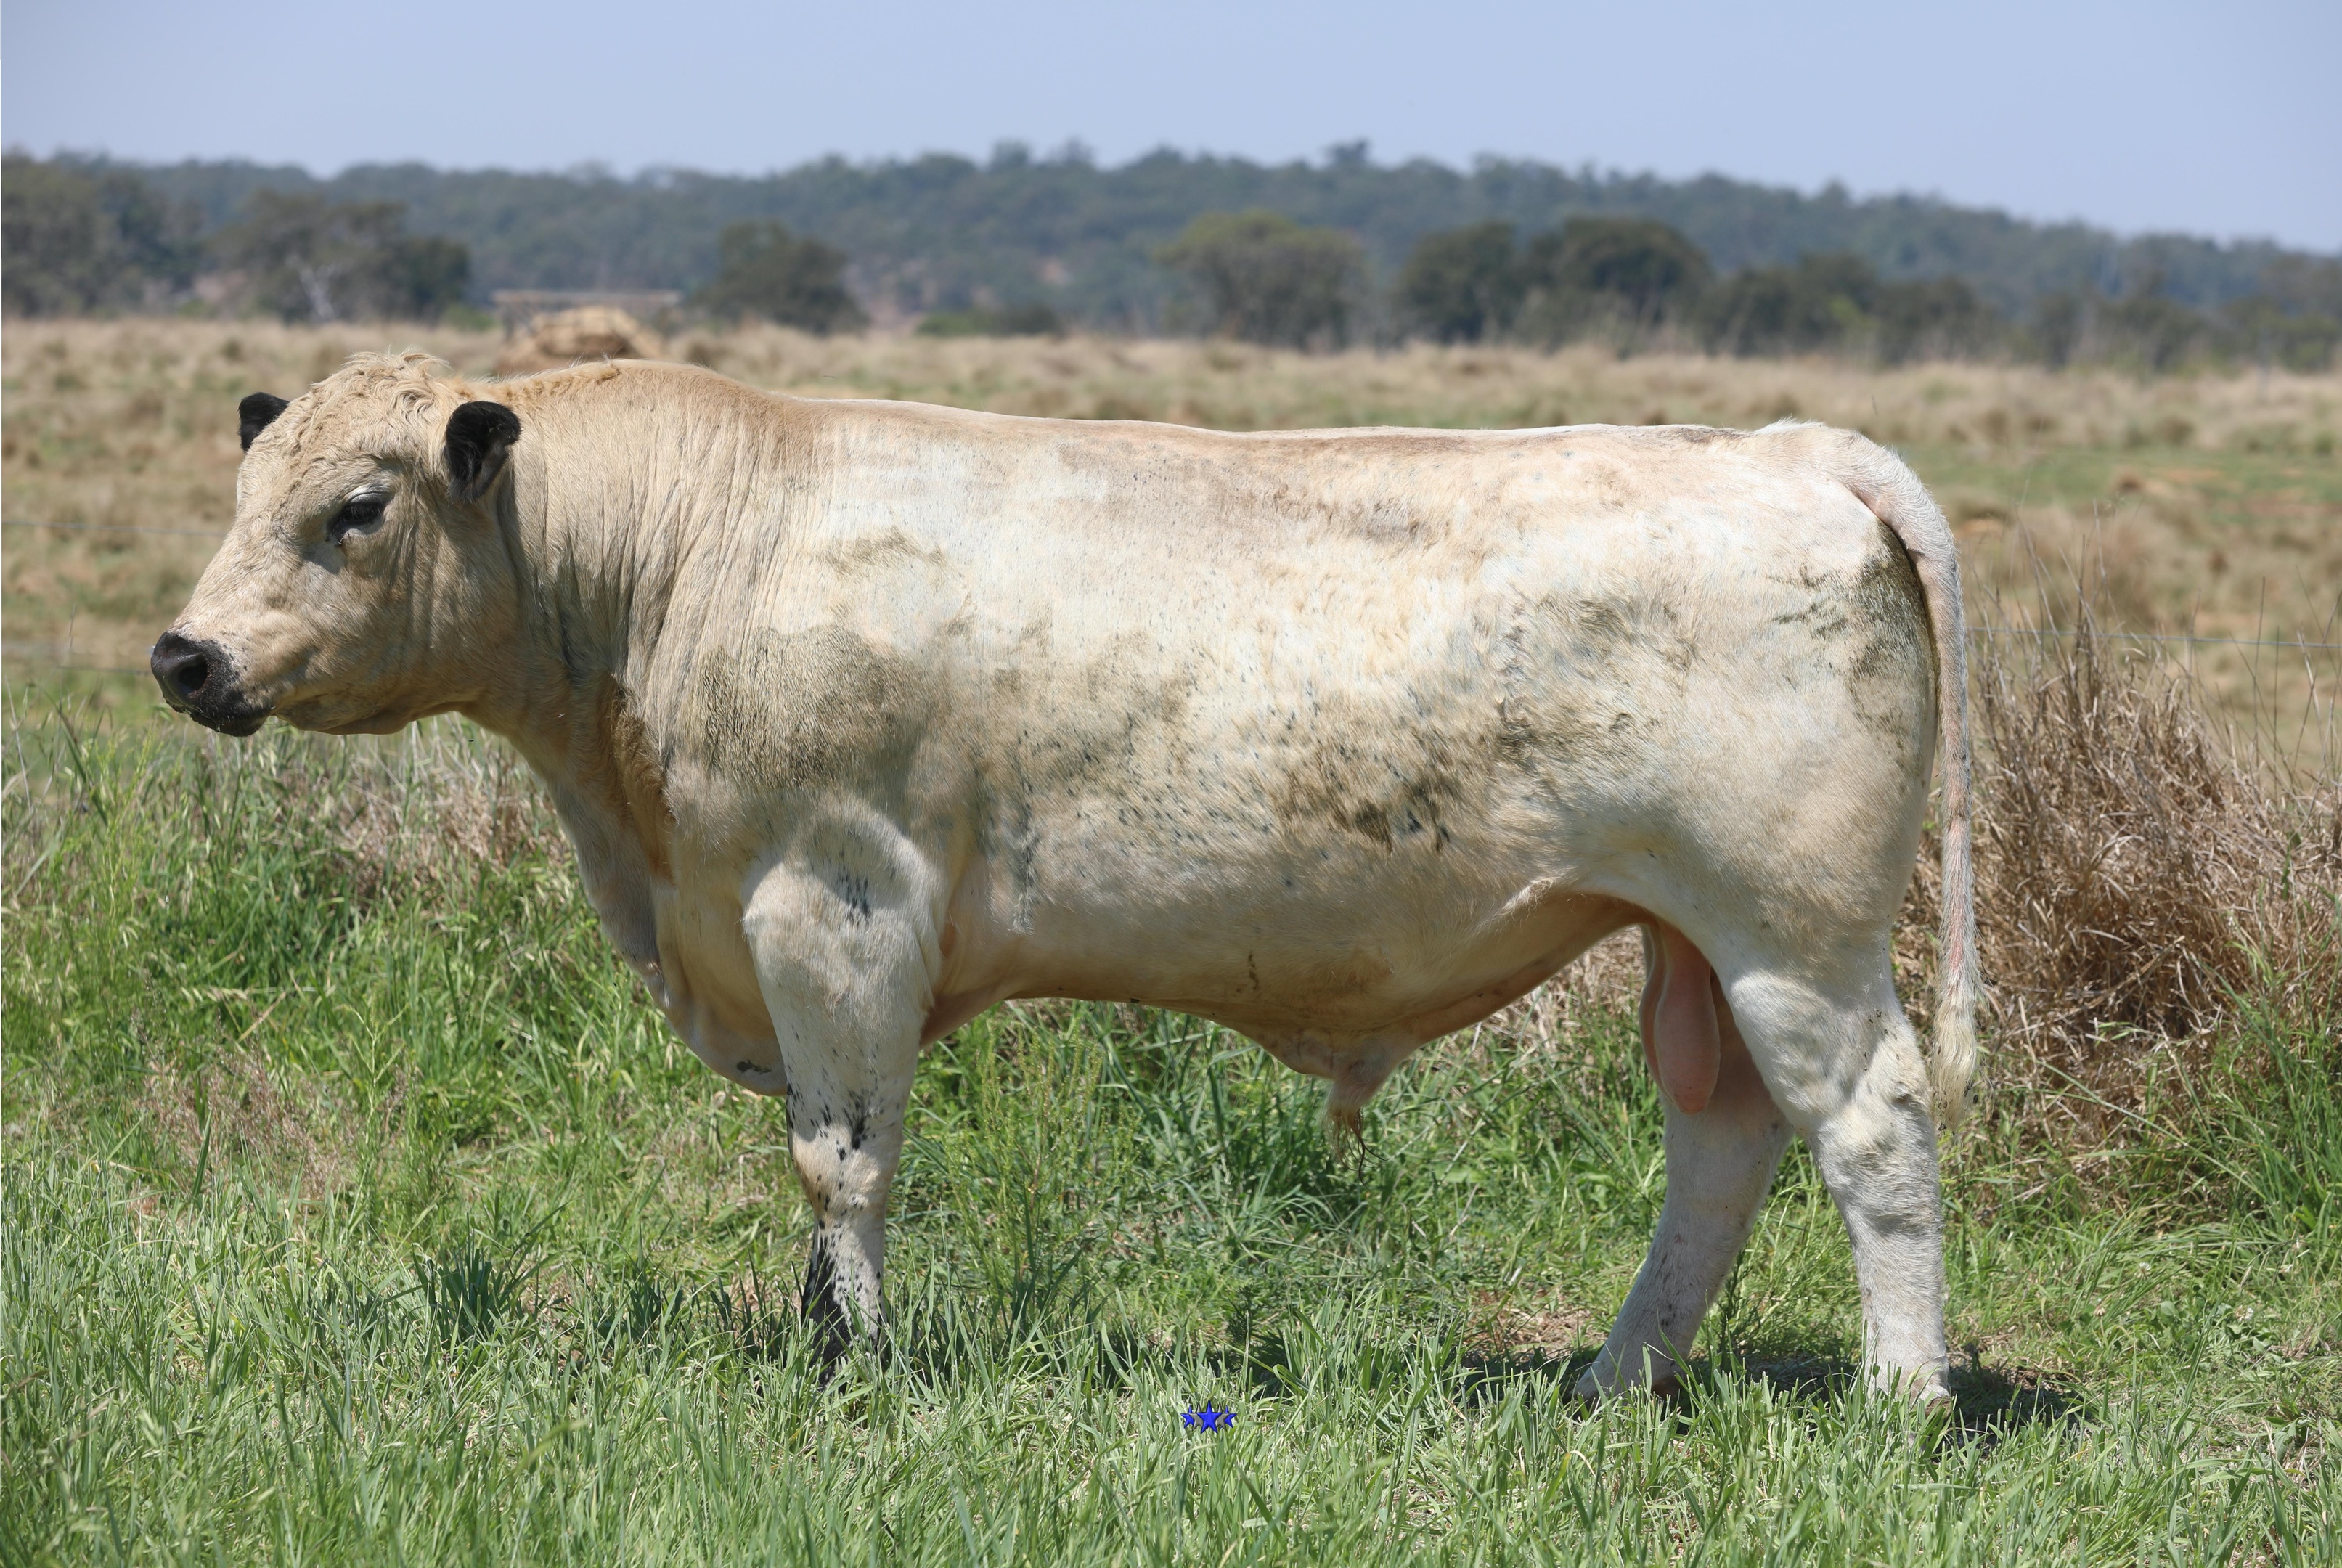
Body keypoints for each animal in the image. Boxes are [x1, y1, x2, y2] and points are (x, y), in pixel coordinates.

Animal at [154, 352, 1979, 1403]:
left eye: (356, 505)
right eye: (244, 491)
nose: (184, 654)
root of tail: (1776, 448)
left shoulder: (832, 901)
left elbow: (840, 1157)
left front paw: (855, 1366)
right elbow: (818, 1161)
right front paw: (820, 1335)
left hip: (1791, 926)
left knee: (1868, 1126)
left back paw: (1897, 1401)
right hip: (1693, 943)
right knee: (1719, 1143)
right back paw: (1613, 1381)